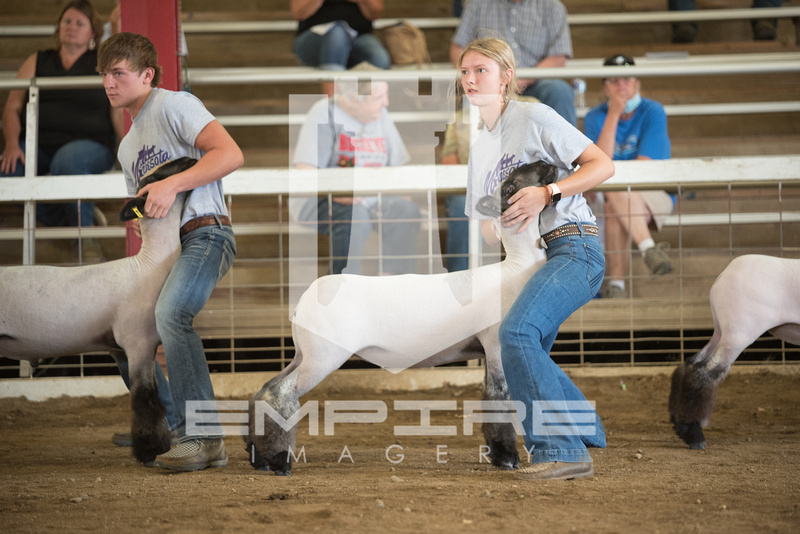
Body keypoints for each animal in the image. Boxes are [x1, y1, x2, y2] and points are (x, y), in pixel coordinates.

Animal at [0, 157, 197, 466]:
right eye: (159, 175)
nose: (191, 159)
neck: (149, 266)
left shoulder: (124, 349)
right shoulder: (138, 343)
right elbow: (145, 399)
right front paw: (149, 452)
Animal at [247, 160, 560, 478]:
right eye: (510, 187)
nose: (546, 164)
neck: (515, 267)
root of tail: (302, 303)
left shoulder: (486, 351)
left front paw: (497, 455)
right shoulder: (496, 346)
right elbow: (499, 399)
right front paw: (508, 458)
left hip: (305, 353)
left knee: (264, 391)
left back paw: (259, 457)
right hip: (323, 355)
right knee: (279, 394)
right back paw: (279, 462)